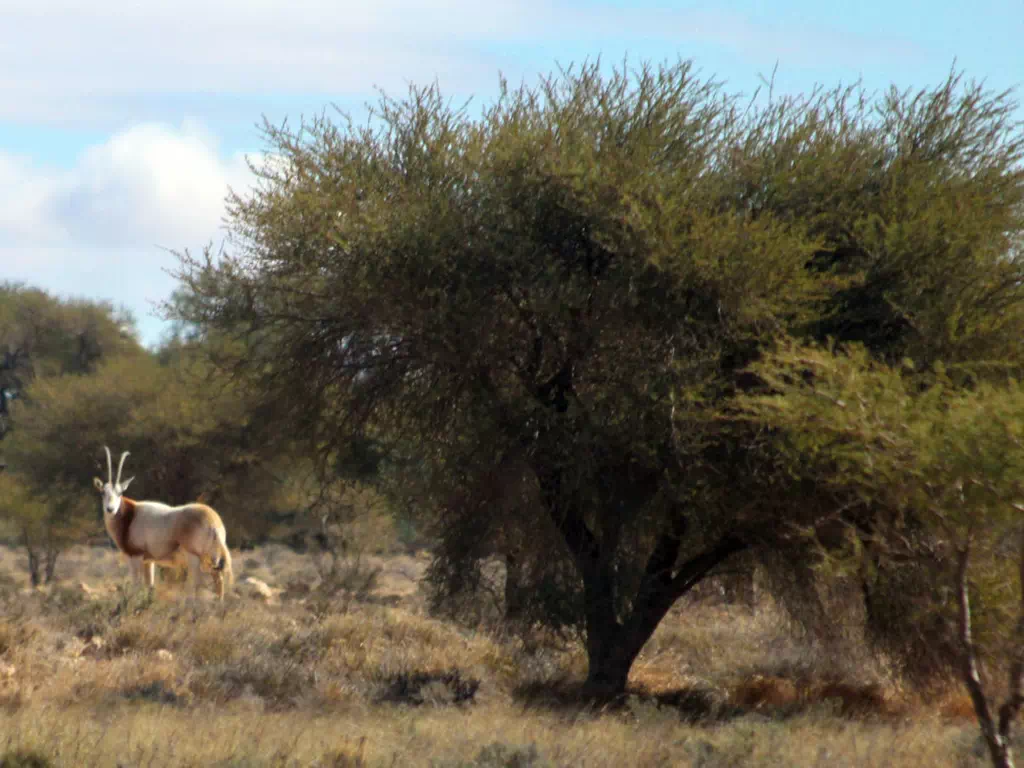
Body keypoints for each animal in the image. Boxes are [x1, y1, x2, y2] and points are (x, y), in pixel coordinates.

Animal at [92, 444, 234, 602]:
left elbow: (136, 586)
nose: (110, 509)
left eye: (120, 493)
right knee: (218, 579)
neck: (130, 515)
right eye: (103, 492)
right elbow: (150, 586)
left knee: (198, 582)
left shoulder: (135, 556)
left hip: (194, 557)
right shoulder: (149, 561)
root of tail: (213, 521)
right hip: (211, 557)